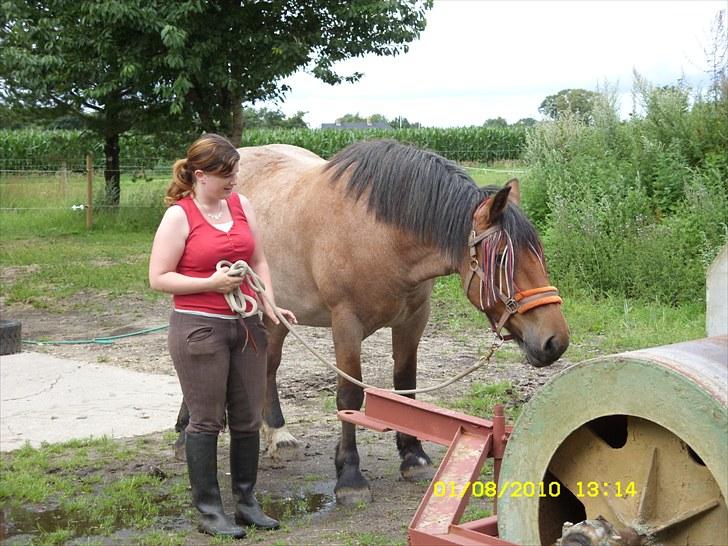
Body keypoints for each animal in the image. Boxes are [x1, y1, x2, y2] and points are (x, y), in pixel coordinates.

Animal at [175, 138, 568, 504]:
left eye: (539, 253)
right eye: (502, 258)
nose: (556, 341)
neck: (379, 236)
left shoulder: (413, 320)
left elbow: (406, 386)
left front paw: (413, 457)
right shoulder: (345, 324)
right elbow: (349, 396)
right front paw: (349, 477)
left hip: (274, 311)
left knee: (268, 364)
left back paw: (279, 435)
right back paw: (184, 431)